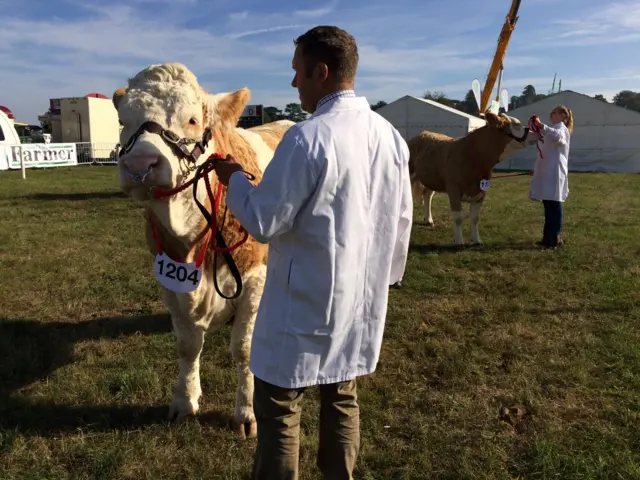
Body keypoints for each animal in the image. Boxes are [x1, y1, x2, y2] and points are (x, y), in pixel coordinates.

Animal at [113, 62, 296, 436]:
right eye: (123, 121)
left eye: (193, 120)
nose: (140, 165)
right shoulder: (169, 281)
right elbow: (187, 345)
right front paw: (185, 402)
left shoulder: (254, 278)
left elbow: (244, 349)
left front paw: (246, 413)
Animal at [408, 112, 536, 246]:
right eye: (516, 124)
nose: (534, 132)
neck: (473, 156)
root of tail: (422, 134)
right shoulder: (453, 189)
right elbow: (458, 218)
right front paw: (459, 241)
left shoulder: (481, 191)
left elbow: (475, 218)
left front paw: (477, 240)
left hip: (432, 179)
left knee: (427, 195)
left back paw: (428, 219)